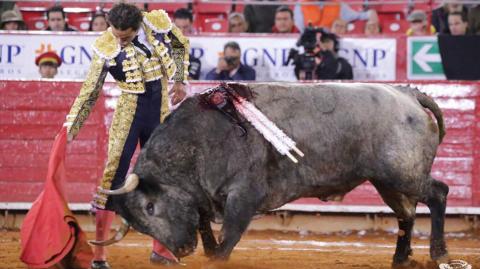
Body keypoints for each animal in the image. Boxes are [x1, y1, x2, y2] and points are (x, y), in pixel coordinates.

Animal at [94, 82, 450, 266]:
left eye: (150, 207)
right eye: (141, 225)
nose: (180, 250)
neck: (197, 139)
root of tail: (407, 92)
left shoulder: (243, 196)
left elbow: (227, 238)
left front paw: (216, 257)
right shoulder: (203, 200)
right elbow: (207, 231)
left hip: (403, 173)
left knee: (438, 194)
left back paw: (438, 253)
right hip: (386, 180)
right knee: (406, 213)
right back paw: (401, 259)